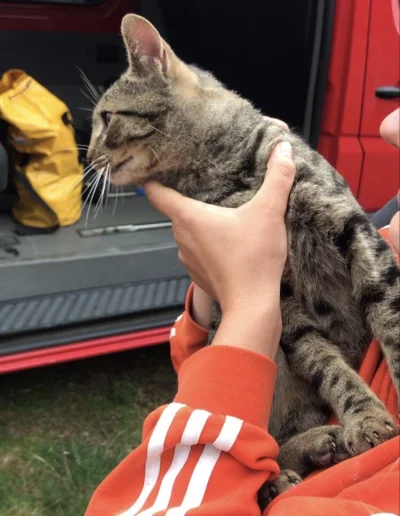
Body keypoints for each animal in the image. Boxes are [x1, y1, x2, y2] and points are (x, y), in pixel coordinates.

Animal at [86, 14, 398, 510]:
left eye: (105, 118)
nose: (89, 156)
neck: (221, 169)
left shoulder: (352, 228)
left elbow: (389, 316)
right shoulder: (279, 296)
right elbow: (327, 365)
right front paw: (364, 416)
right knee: (264, 446)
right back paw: (296, 464)